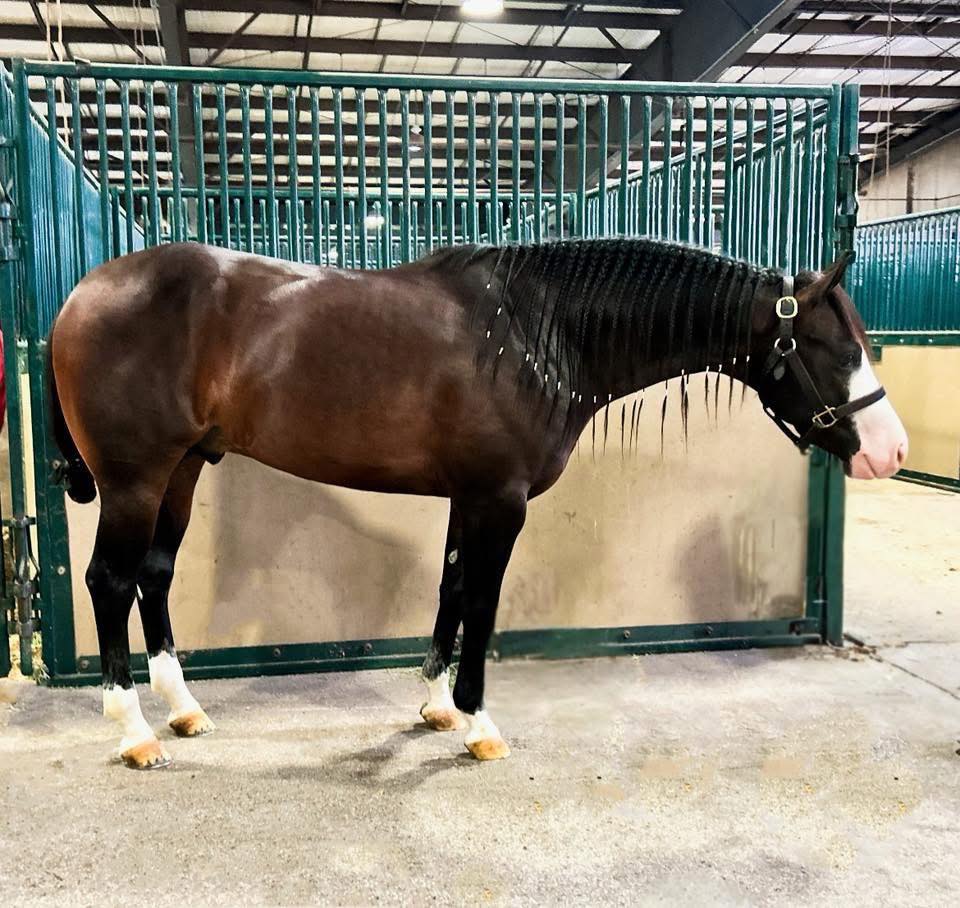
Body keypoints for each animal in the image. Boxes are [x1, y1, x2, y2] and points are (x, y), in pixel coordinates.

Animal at [47, 237, 908, 769]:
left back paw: (183, 708)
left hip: (183, 471)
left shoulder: (469, 496)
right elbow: (485, 605)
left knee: (154, 576)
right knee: (109, 582)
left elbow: (453, 590)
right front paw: (479, 723)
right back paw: (134, 732)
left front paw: (436, 708)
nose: (891, 451)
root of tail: (81, 292)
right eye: (833, 347)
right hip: (134, 480)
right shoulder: (501, 499)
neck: (540, 333)